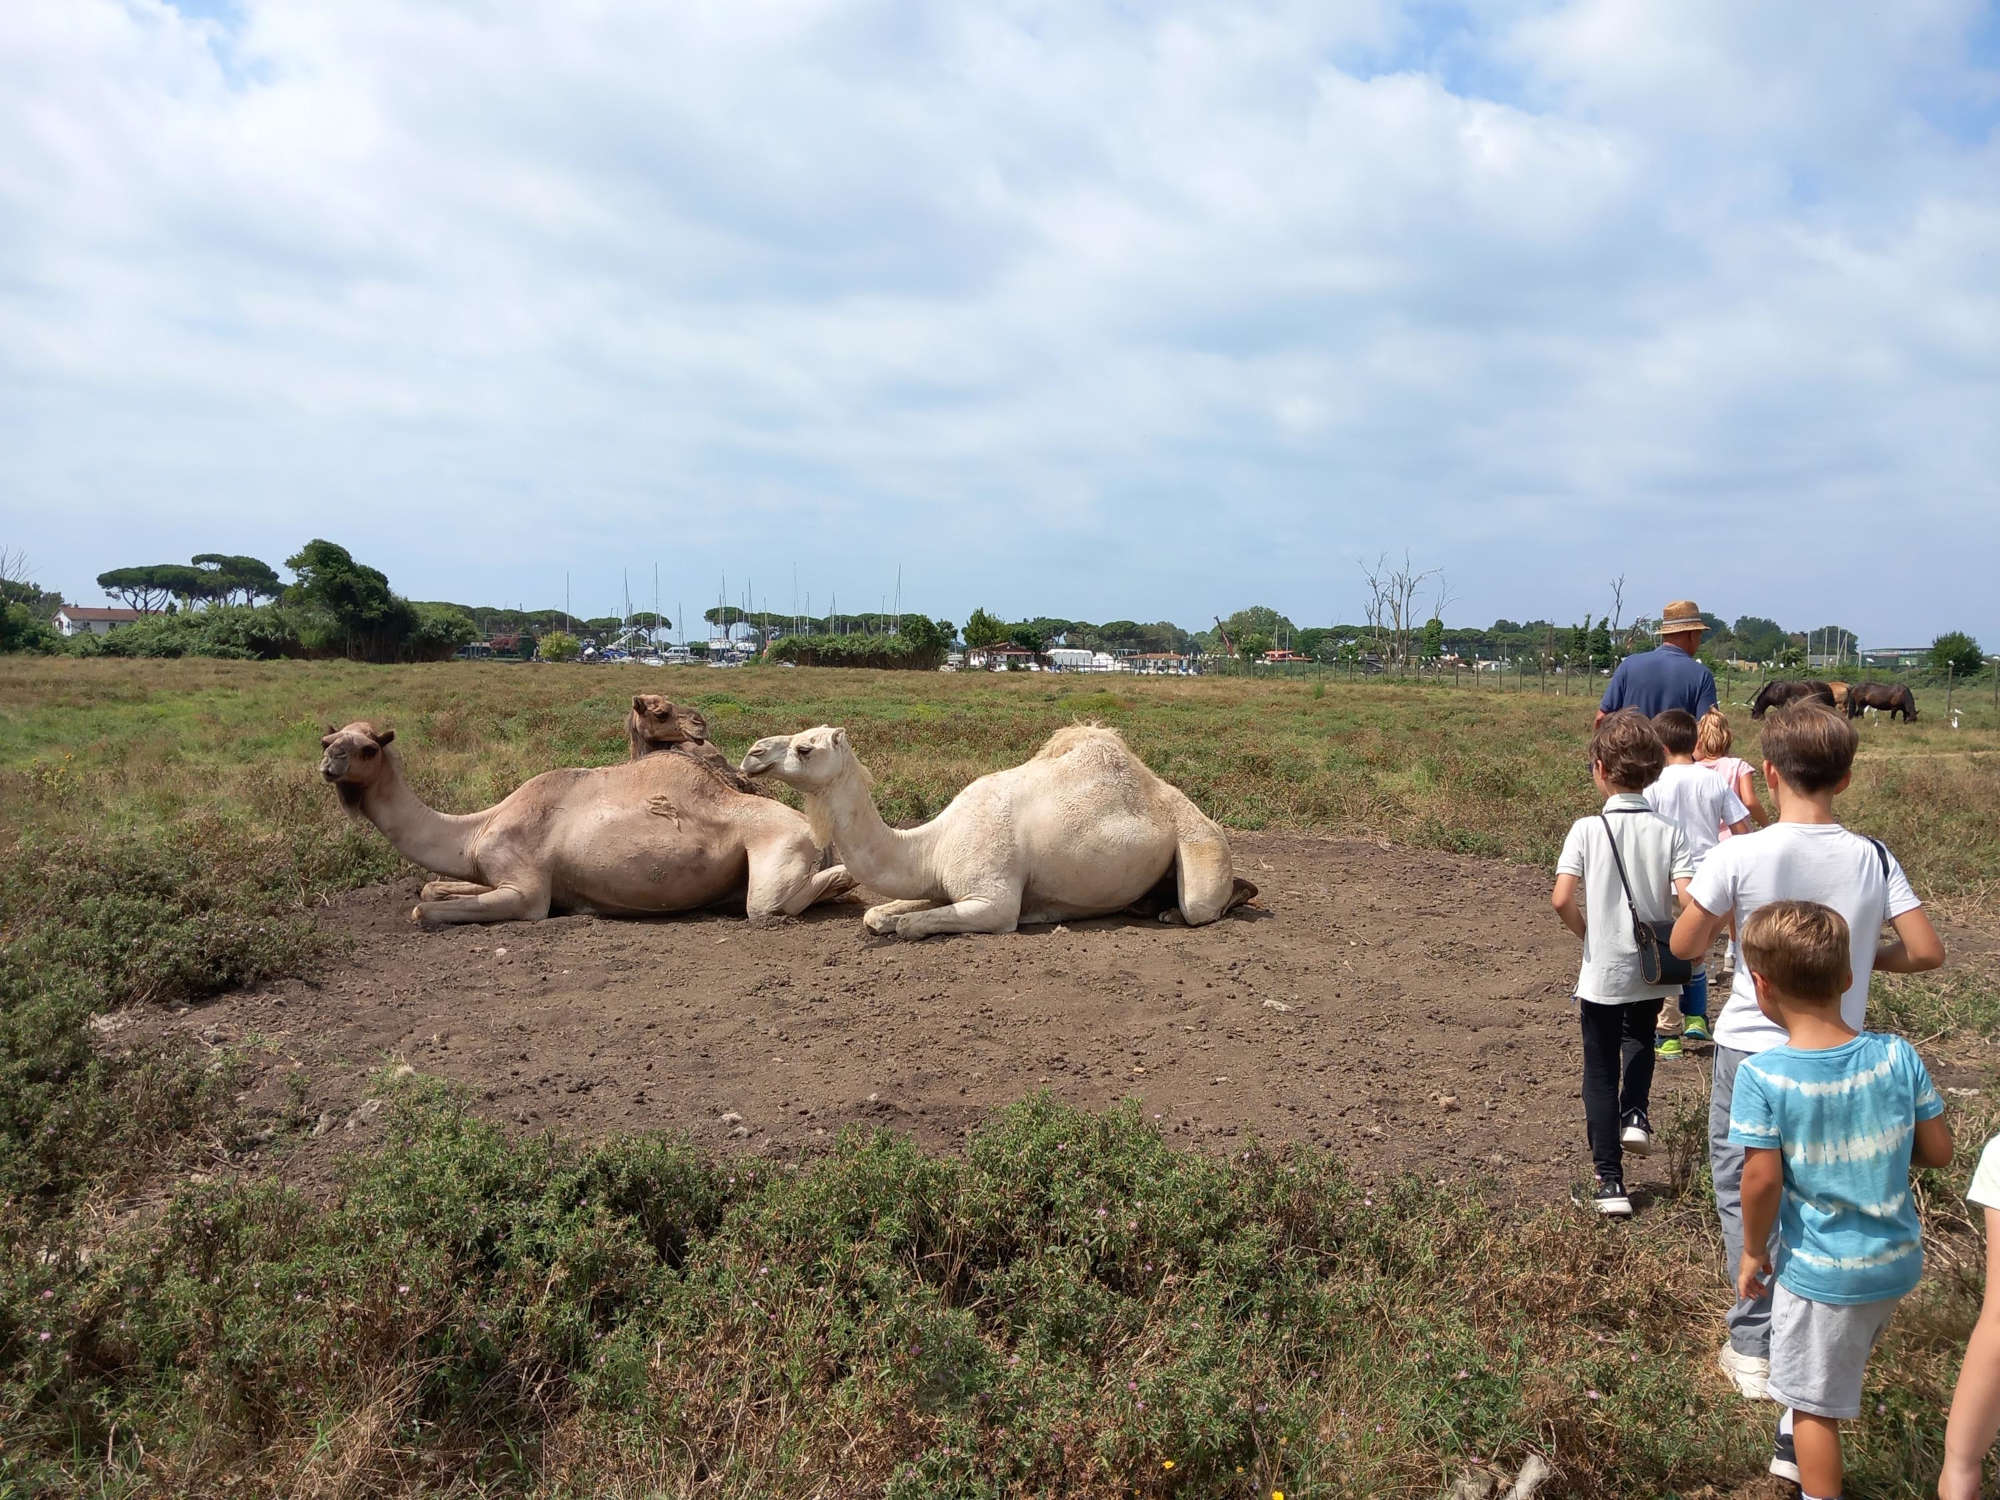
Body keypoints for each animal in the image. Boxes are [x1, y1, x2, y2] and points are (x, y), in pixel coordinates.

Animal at [324, 720, 856, 924]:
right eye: (328, 740)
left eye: (367, 748)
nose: (329, 763)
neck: (474, 831)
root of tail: (811, 826)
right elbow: (431, 888)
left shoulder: (527, 891)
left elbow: (423, 909)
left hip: (775, 853)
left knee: (768, 904)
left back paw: (842, 879)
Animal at [736, 724, 1256, 940]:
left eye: (805, 748)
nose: (752, 753)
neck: (933, 845)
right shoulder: (944, 886)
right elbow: (878, 915)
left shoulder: (993, 898)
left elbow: (909, 925)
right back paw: (1150, 907)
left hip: (1201, 843)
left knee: (1202, 905)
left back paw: (1182, 909)